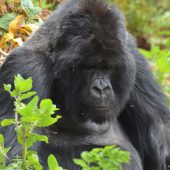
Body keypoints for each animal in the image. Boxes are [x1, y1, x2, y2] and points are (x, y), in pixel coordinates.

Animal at [0, 0, 170, 170]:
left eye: (109, 68)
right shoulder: (26, 67)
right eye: (88, 67)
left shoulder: (133, 55)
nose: (101, 88)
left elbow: (162, 129)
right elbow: (16, 156)